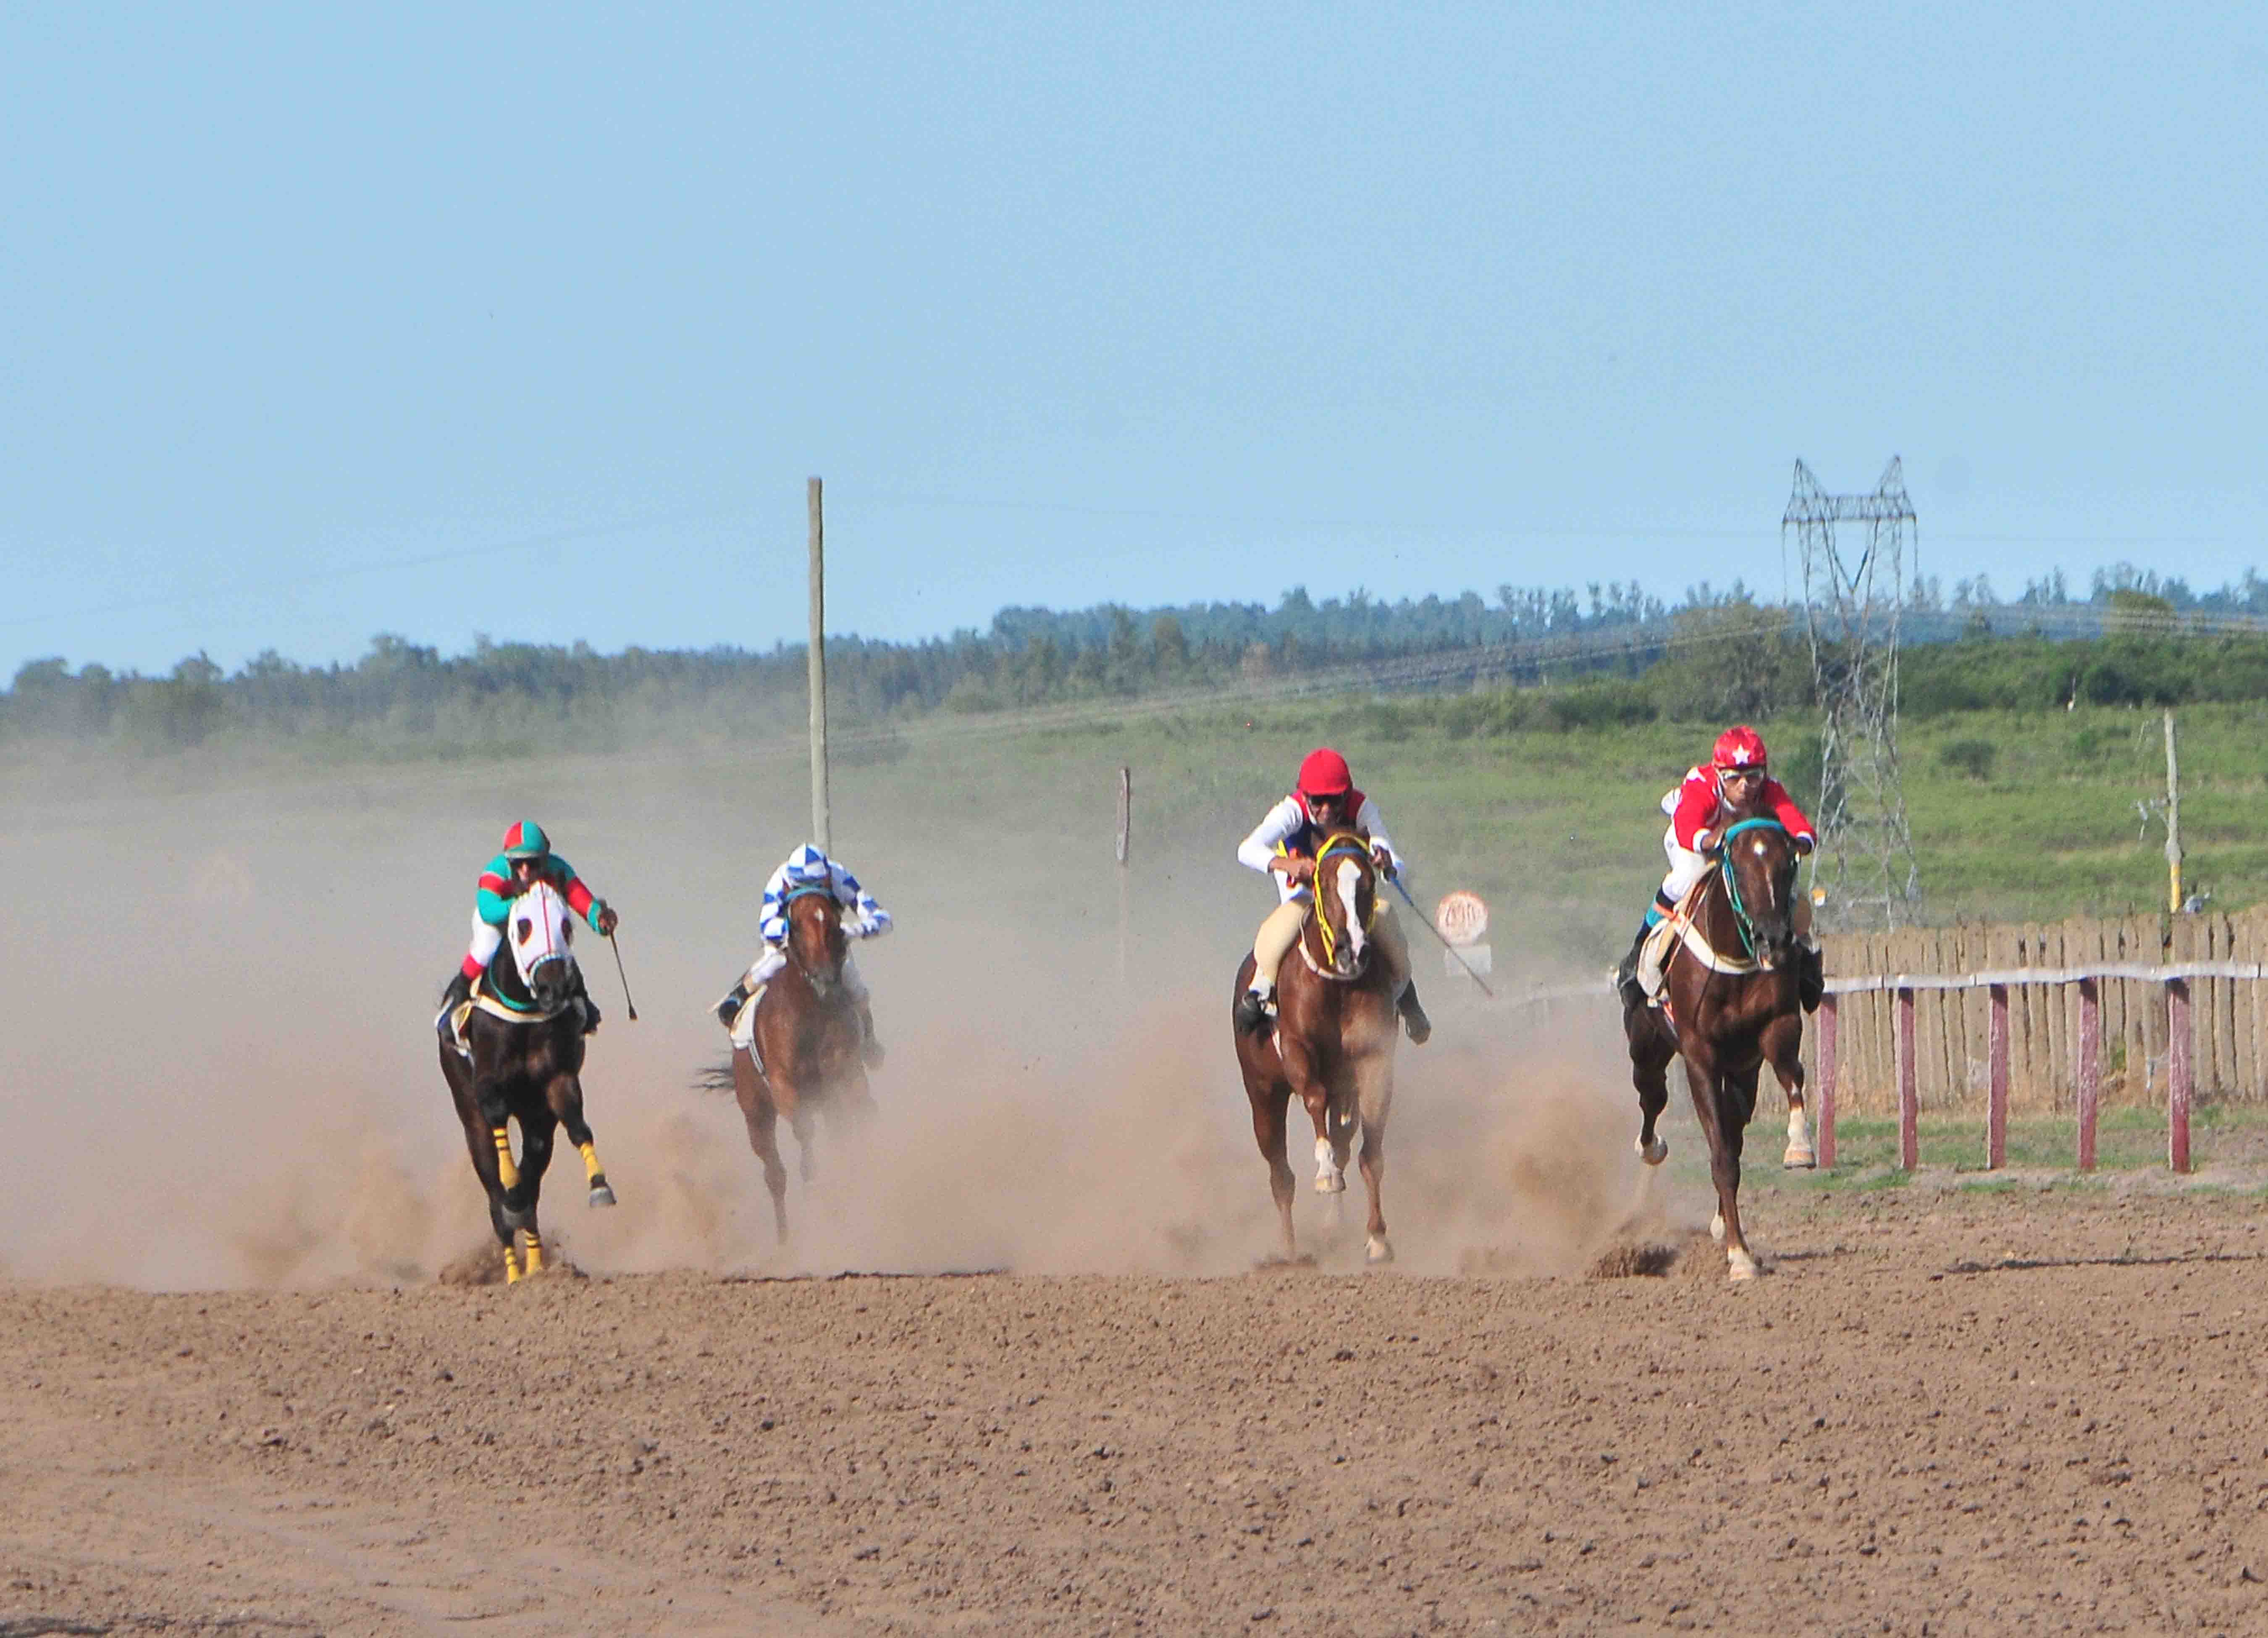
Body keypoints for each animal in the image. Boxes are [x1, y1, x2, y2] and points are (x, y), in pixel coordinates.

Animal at [431, 880, 612, 1279]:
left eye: (567, 926)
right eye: (524, 926)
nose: (554, 988)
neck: (525, 1011)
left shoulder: (556, 1083)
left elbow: (577, 1126)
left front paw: (600, 1186)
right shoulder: (486, 1085)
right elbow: (497, 1120)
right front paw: (512, 1190)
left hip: (535, 1120)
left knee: (535, 1176)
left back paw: (535, 1267)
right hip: (468, 1114)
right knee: (494, 1194)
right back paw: (514, 1272)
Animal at [726, 880, 875, 1234]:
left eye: (834, 921)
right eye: (796, 923)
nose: (823, 978)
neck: (810, 1011)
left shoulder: (845, 1073)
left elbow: (857, 1116)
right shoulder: (784, 1085)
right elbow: (804, 1130)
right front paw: (812, 1176)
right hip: (756, 1114)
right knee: (774, 1174)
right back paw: (785, 1238)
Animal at [1243, 830, 1397, 1261]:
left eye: (1369, 883)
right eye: (1324, 885)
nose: (1352, 951)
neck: (1335, 985)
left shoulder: (1373, 1059)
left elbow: (1371, 1152)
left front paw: (1378, 1237)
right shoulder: (1296, 1049)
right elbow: (1313, 1097)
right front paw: (1325, 1173)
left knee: (1343, 1140)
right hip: (1263, 1095)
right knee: (1280, 1175)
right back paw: (1290, 1249)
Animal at [1624, 816, 1814, 1279]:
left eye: (1788, 866)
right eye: (1740, 871)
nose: (1773, 939)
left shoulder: (1776, 1029)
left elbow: (1791, 1075)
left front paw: (1800, 1146)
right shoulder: (1700, 1056)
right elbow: (1722, 1157)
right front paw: (1741, 1256)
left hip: (1742, 1070)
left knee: (1734, 1124)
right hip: (1647, 1050)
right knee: (1653, 1098)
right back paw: (1650, 1148)